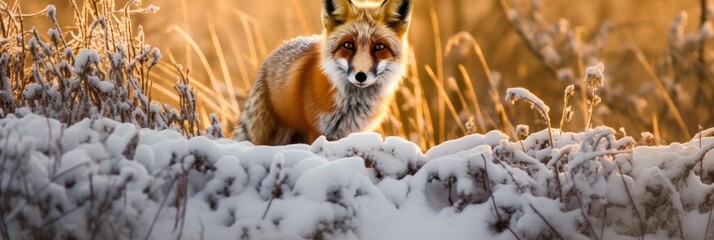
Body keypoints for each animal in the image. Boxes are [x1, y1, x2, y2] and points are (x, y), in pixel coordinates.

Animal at [234, 0, 412, 144]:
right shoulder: (318, 130)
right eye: (348, 45)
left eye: (379, 47)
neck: (352, 104)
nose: (360, 76)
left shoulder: (352, 132)